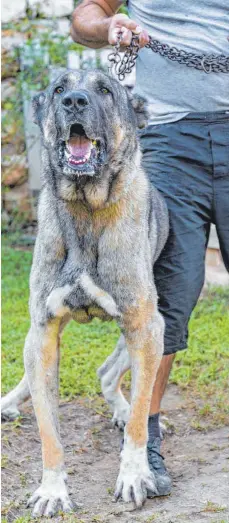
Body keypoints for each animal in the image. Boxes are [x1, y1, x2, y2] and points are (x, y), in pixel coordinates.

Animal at [0, 70, 168, 520]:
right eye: (59, 88)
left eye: (105, 90)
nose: (74, 101)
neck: (86, 209)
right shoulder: (42, 332)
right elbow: (48, 430)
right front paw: (52, 490)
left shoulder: (145, 326)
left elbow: (141, 419)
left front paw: (134, 474)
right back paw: (10, 400)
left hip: (159, 326)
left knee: (112, 376)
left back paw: (123, 410)